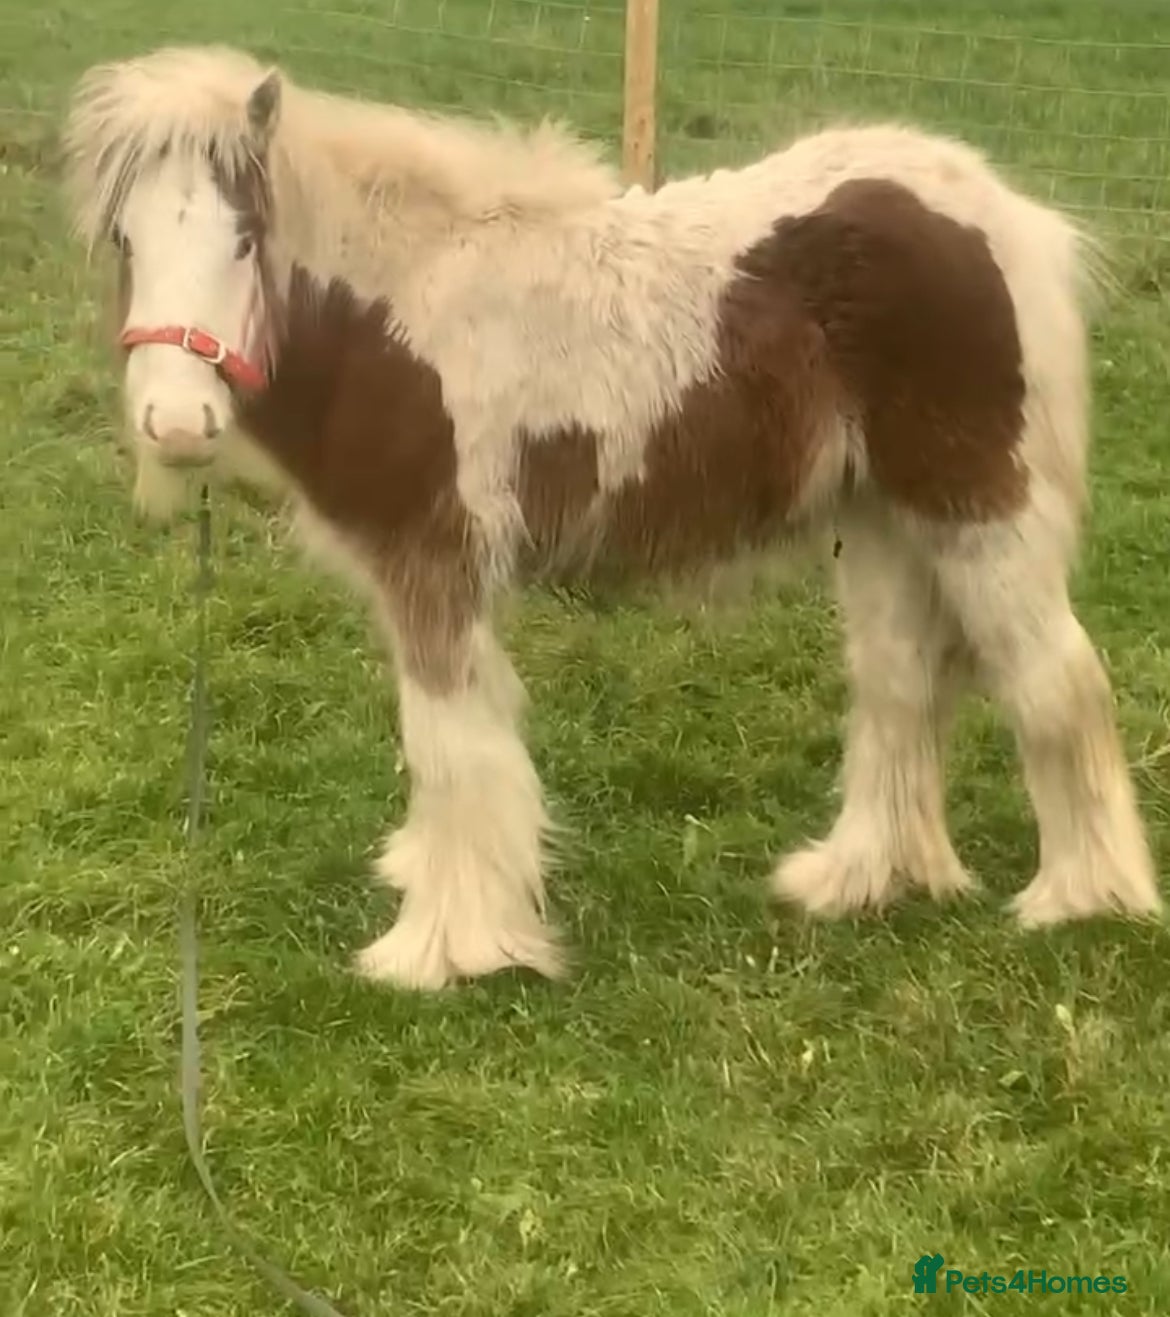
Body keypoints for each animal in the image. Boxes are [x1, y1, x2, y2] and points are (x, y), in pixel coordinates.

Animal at [61, 45, 1161, 990]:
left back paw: (1083, 900)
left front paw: (445, 950)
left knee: (1058, 681)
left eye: (245, 240)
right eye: (124, 241)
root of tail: (998, 210)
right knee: (900, 686)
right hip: (883, 524)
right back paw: (860, 879)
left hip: (979, 513)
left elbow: (449, 745)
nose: (176, 424)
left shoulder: (435, 565)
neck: (399, 316)